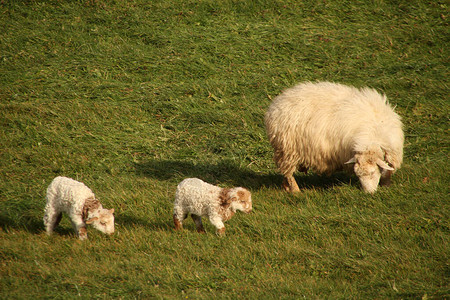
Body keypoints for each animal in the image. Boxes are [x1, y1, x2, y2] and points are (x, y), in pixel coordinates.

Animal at [264, 81, 404, 195]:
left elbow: (387, 169)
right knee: (288, 173)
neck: (372, 137)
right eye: (358, 175)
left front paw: (386, 185)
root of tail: (276, 104)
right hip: (288, 150)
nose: (368, 193)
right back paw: (295, 190)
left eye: (372, 173)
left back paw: (286, 187)